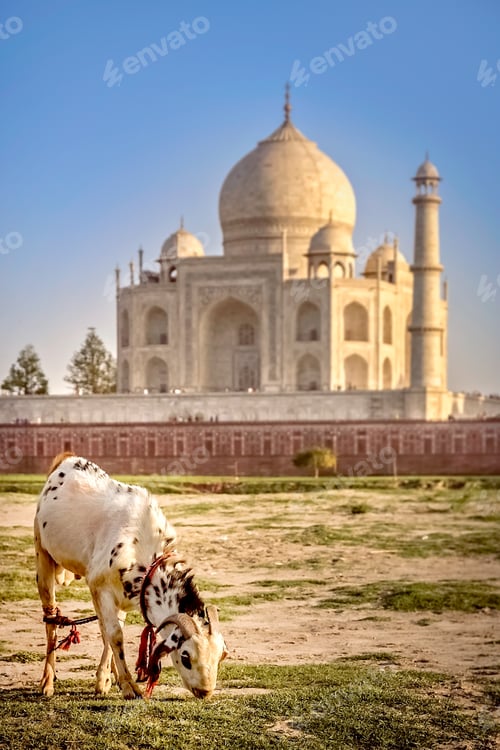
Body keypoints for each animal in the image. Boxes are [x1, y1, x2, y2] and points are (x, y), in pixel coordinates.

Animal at [34, 453, 227, 699]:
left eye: (221, 656)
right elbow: (114, 634)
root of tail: (66, 459)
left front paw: (106, 680)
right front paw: (129, 686)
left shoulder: (115, 594)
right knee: (50, 618)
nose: (205, 691)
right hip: (42, 553)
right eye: (185, 656)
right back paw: (47, 682)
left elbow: (110, 631)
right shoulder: (101, 587)